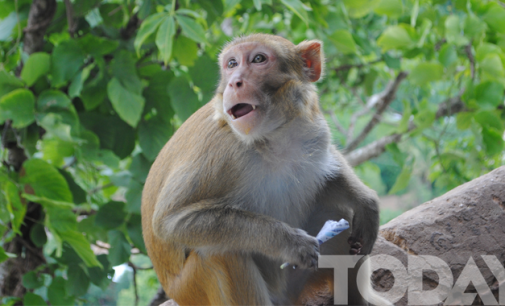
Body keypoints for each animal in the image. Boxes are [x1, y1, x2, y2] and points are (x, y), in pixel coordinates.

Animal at [142, 34, 390, 306]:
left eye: (258, 59)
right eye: (231, 64)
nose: (234, 82)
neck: (272, 134)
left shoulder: (315, 127)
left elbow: (329, 176)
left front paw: (366, 202)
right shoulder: (219, 152)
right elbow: (170, 222)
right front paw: (289, 242)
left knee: (335, 211)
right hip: (194, 289)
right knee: (222, 251)